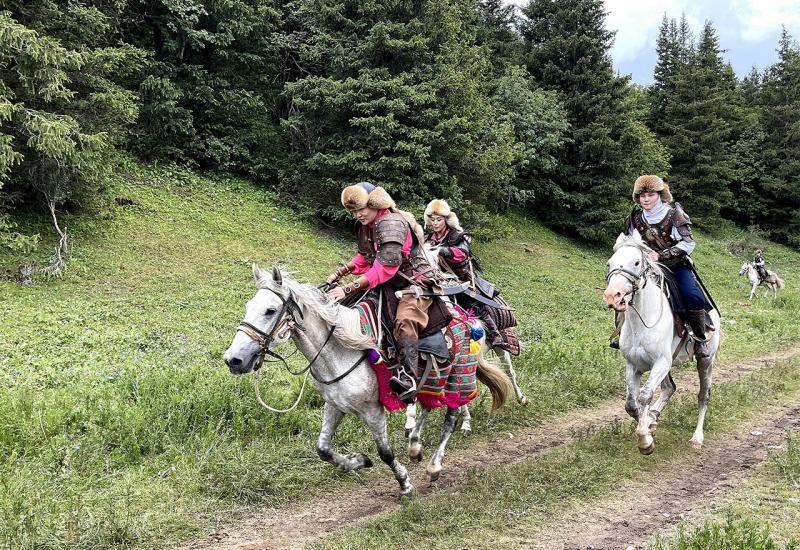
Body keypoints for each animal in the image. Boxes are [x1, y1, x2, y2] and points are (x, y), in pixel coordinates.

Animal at [223, 266, 512, 494]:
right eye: (248, 307)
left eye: (270, 310)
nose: (233, 359)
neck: (339, 350)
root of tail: (468, 317)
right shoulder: (334, 405)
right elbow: (323, 449)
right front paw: (358, 461)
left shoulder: (372, 410)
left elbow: (385, 452)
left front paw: (404, 484)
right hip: (432, 381)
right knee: (428, 406)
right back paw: (415, 445)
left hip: (458, 377)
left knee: (450, 417)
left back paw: (434, 466)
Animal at [604, 235, 720, 454]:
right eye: (610, 263)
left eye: (636, 262)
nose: (612, 296)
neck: (643, 322)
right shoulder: (634, 365)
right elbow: (631, 404)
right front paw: (649, 424)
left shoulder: (660, 362)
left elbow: (644, 396)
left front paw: (645, 441)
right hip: (668, 363)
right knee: (669, 388)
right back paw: (654, 416)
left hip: (705, 361)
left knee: (703, 395)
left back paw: (697, 438)